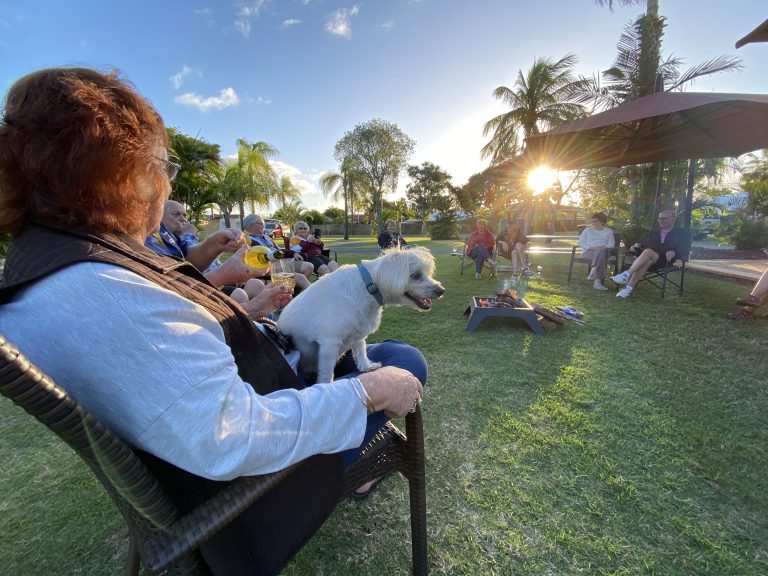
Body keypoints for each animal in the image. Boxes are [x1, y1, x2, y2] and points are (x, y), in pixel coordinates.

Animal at [276, 246, 444, 382]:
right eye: (415, 275)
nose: (441, 290)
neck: (367, 287)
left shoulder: (359, 333)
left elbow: (361, 350)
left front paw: (366, 367)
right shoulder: (329, 344)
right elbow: (326, 374)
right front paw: (325, 385)